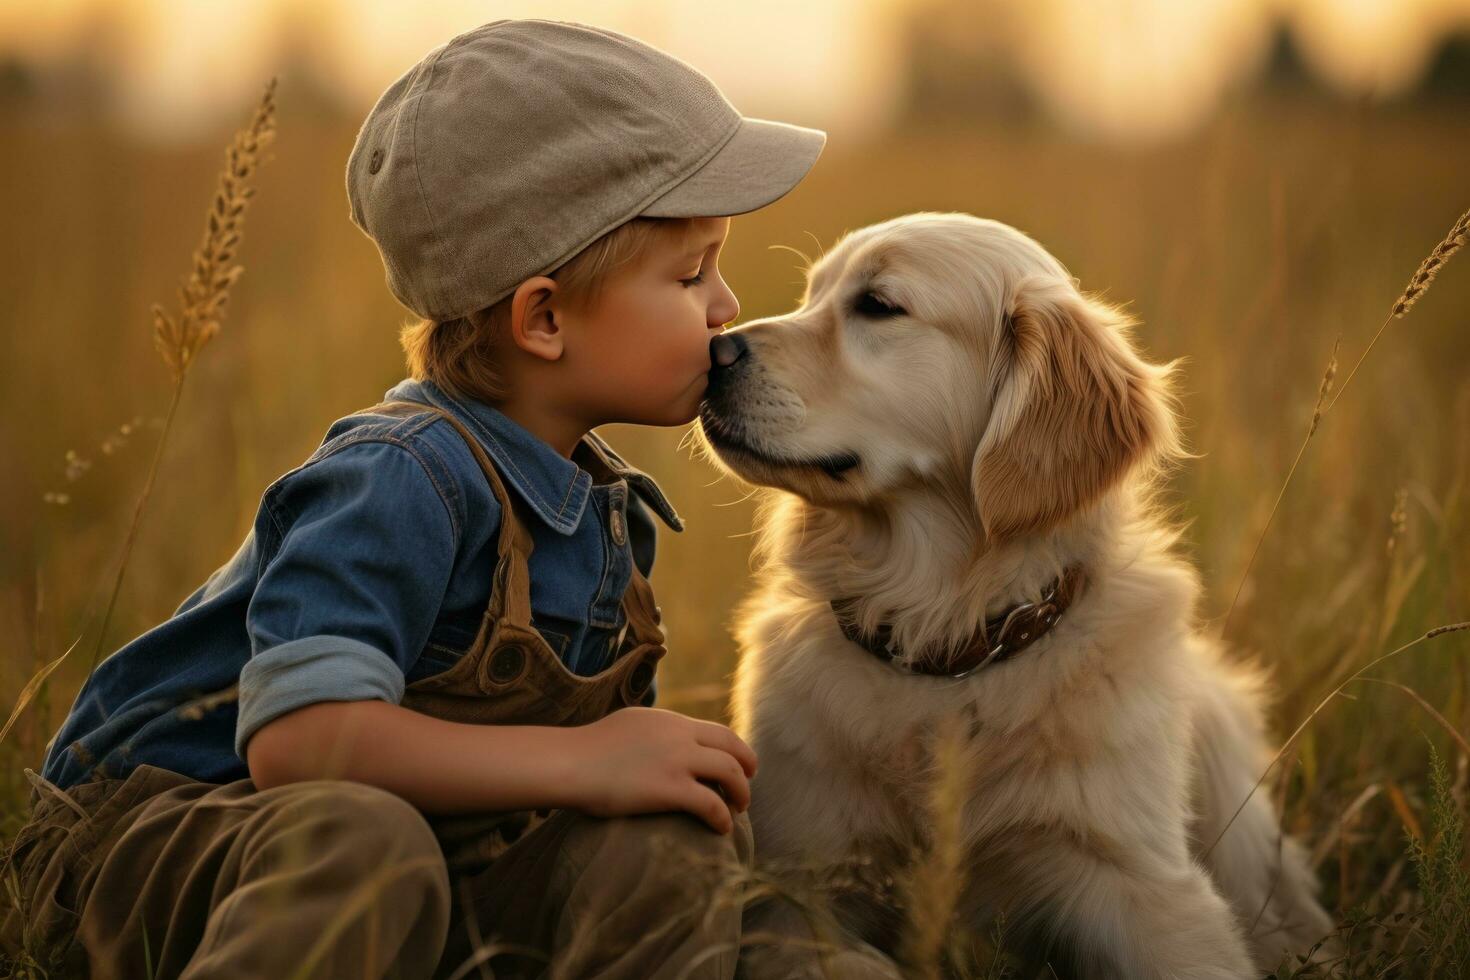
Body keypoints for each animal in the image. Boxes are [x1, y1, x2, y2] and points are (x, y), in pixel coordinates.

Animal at [696, 214, 1334, 980]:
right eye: (810, 295)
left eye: (878, 305)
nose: (711, 349)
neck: (947, 645)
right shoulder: (794, 886)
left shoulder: (1136, 878)